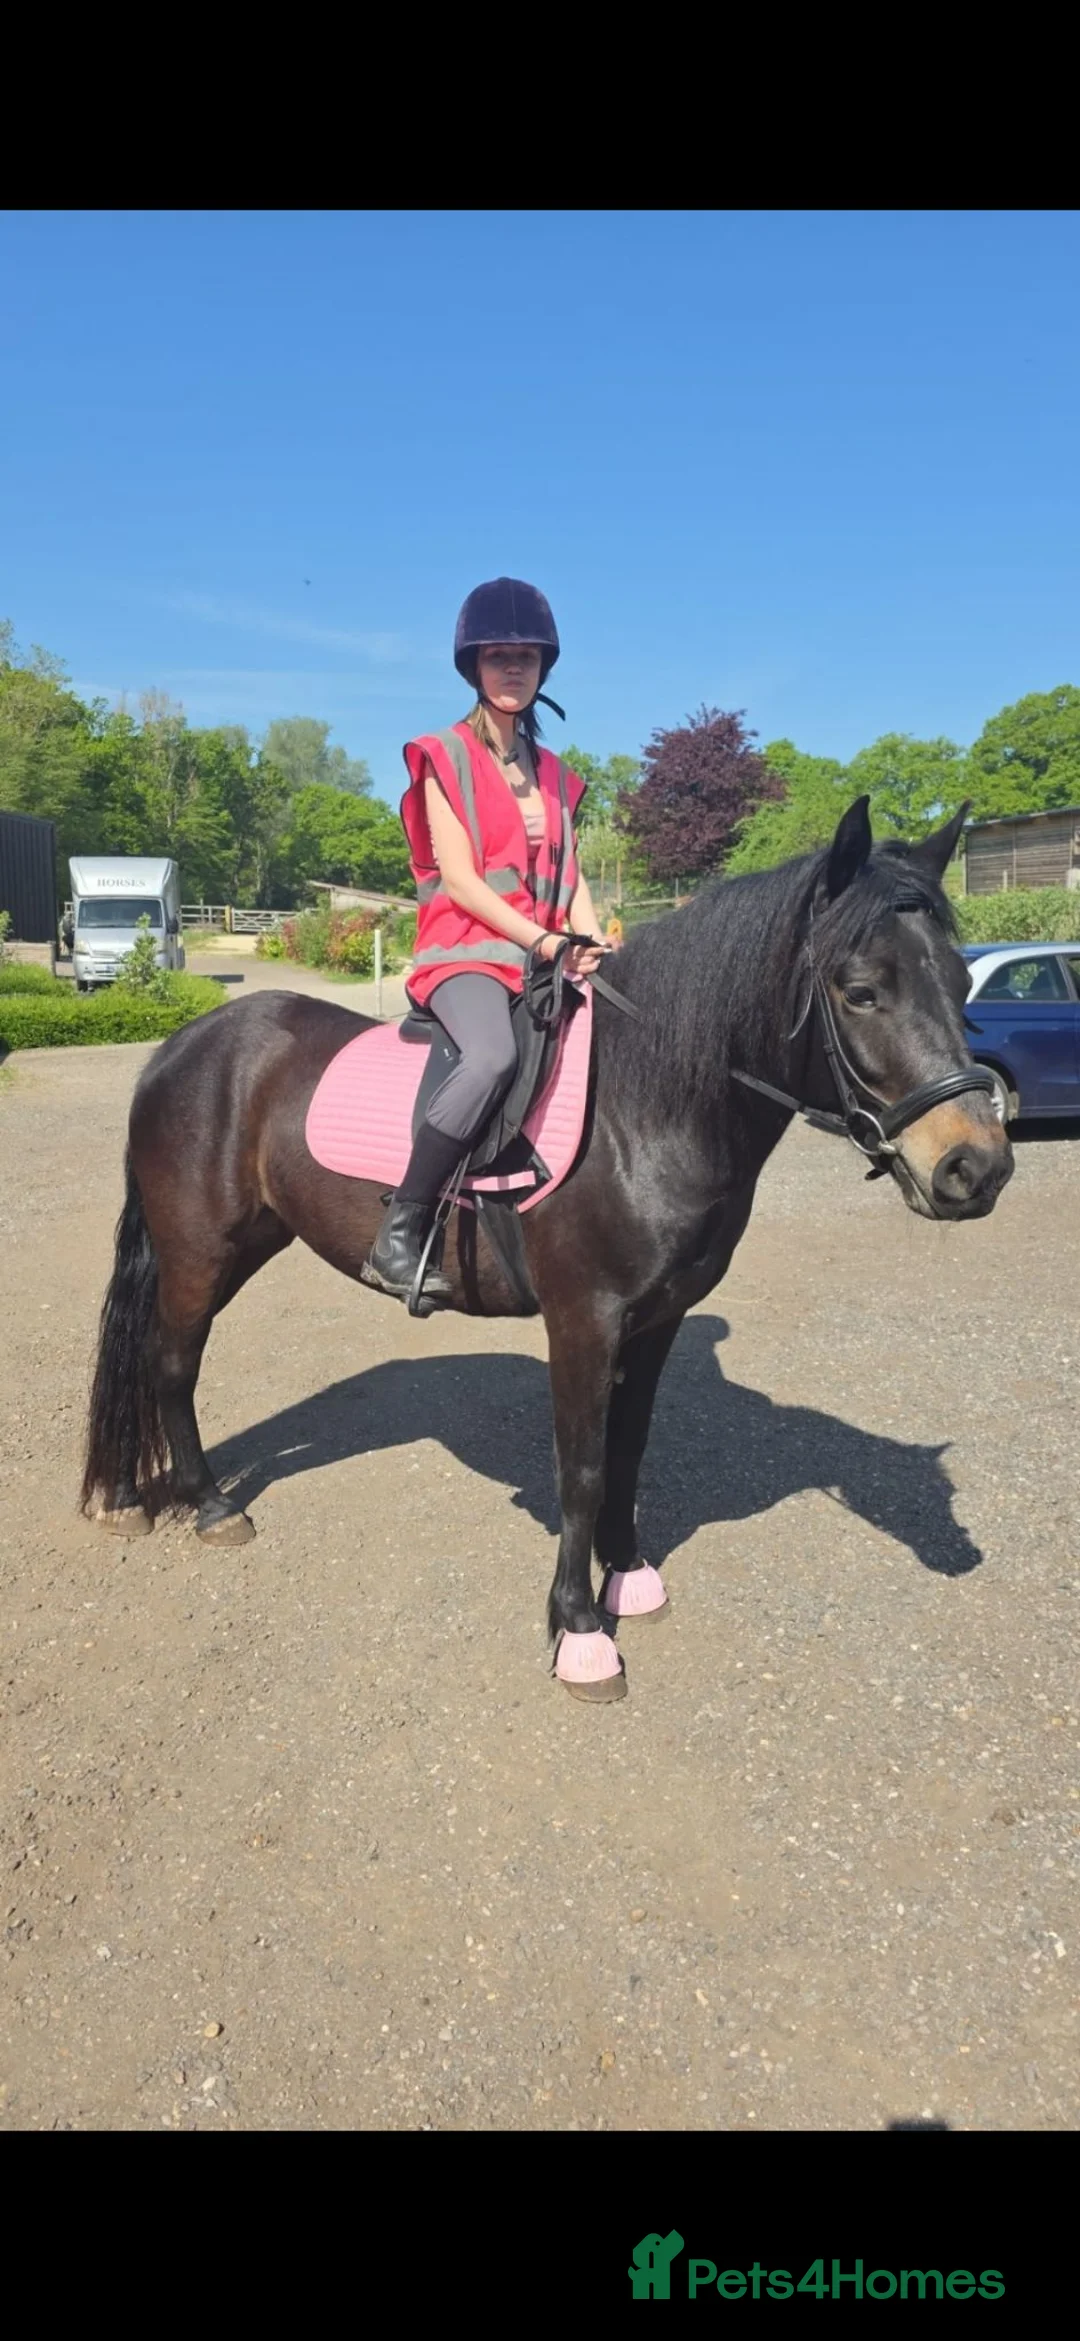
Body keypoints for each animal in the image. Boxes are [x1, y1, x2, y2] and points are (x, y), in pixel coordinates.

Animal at [80, 798, 1013, 1703]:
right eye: (860, 991)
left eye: (961, 979)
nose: (977, 1166)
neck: (643, 1105)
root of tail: (183, 1043)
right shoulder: (584, 1321)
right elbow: (584, 1468)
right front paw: (580, 1630)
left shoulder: (657, 1320)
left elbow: (629, 1451)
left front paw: (628, 1575)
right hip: (199, 1253)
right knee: (169, 1363)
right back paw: (207, 1504)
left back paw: (128, 1491)